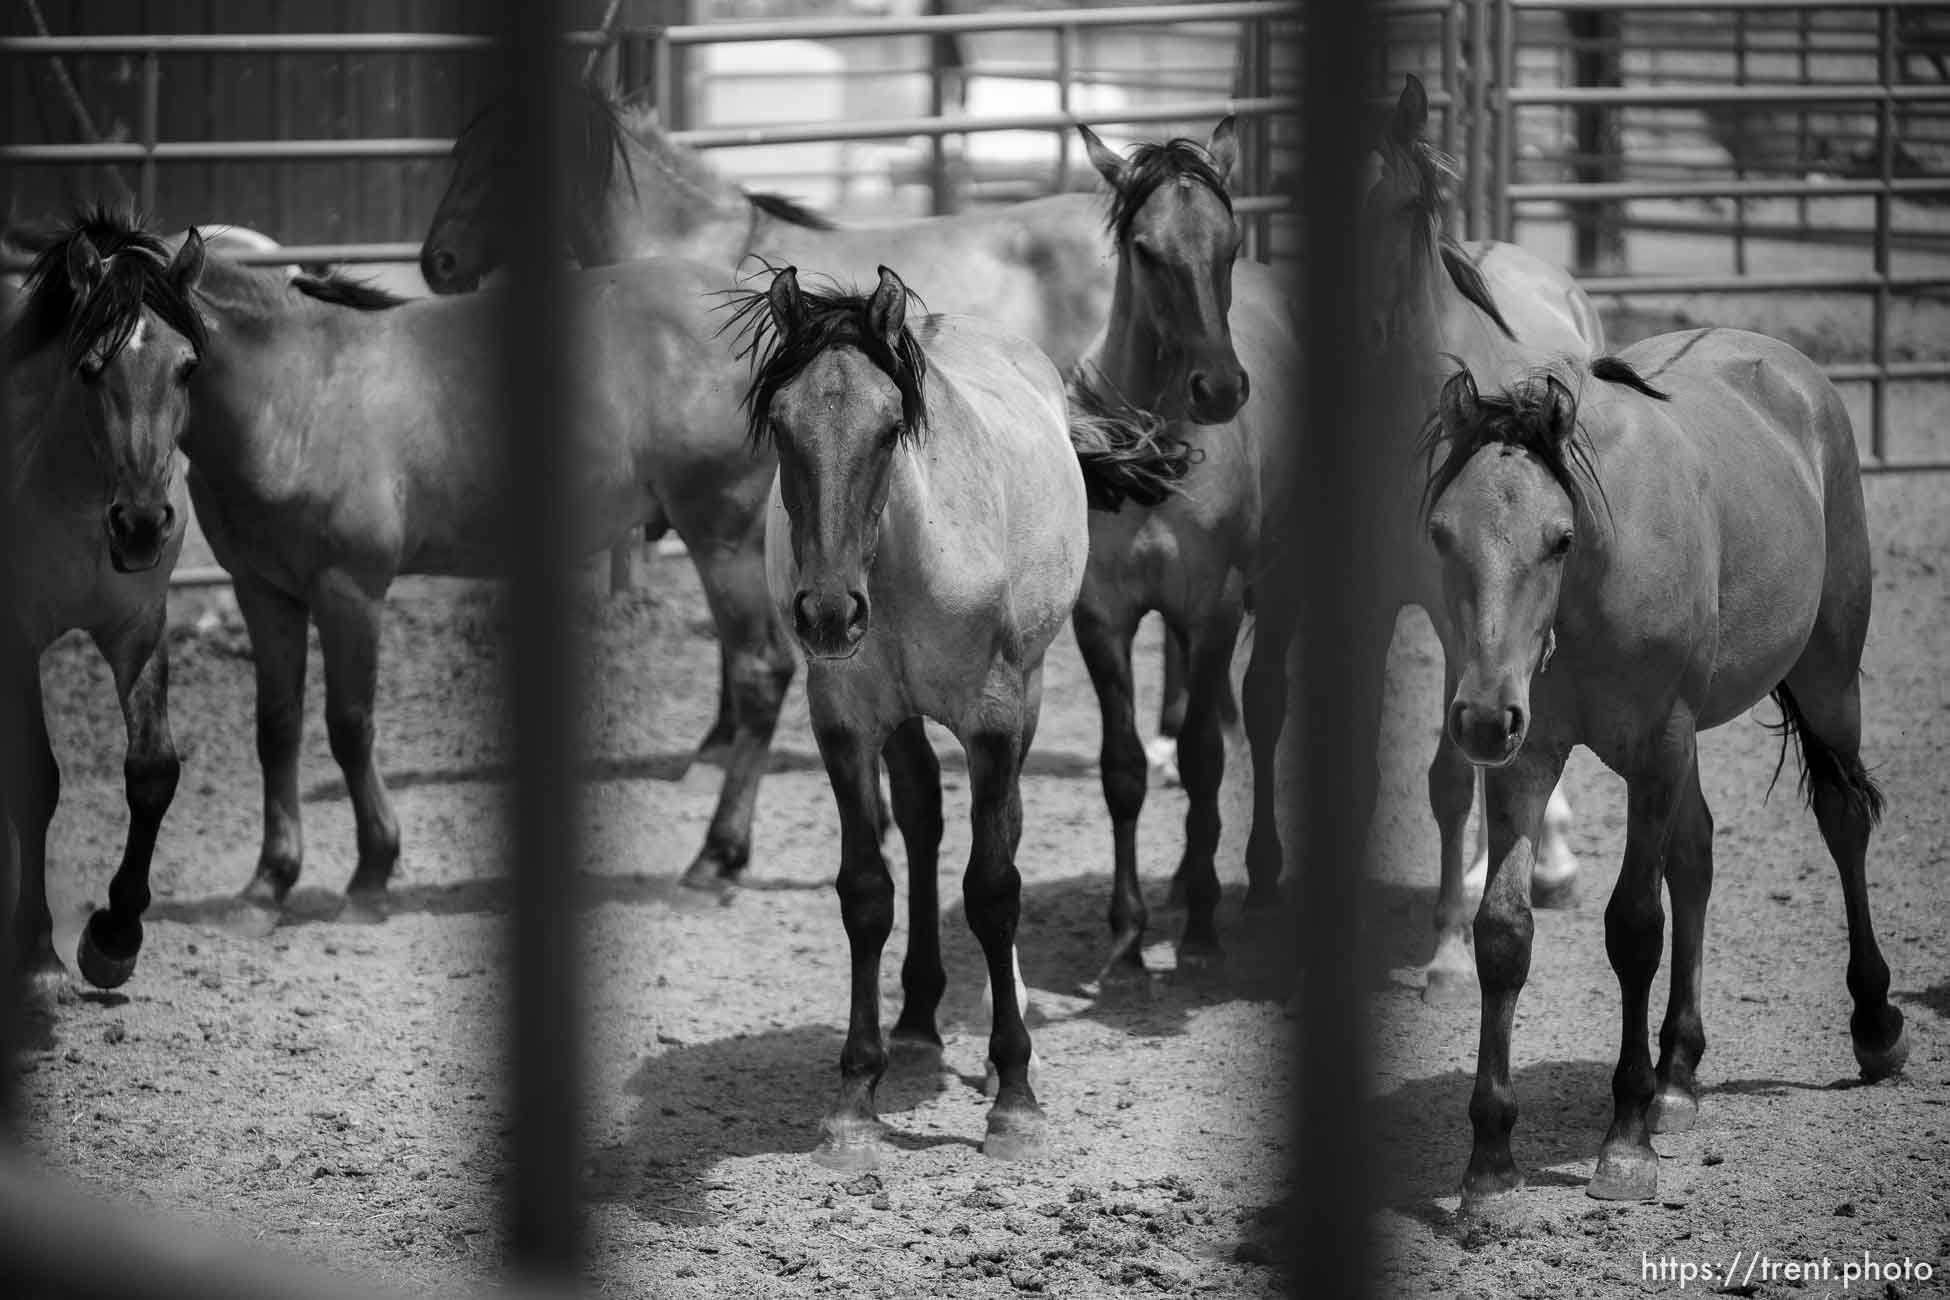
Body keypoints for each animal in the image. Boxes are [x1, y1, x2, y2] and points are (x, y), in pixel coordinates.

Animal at [0, 208, 208, 990]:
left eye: (187, 366)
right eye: (91, 367)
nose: (143, 524)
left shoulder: (139, 627)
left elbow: (152, 772)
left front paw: (113, 940)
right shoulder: (14, 638)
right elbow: (36, 782)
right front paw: (36, 951)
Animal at [173, 238, 791, 919]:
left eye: (174, 359)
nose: (139, 522)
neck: (297, 393)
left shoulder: (349, 590)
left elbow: (349, 726)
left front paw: (372, 870)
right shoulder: (261, 590)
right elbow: (277, 726)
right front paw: (269, 880)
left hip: (726, 537)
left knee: (762, 668)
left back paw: (716, 856)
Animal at [733, 265, 1154, 1169]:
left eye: (891, 428)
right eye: (781, 425)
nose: (827, 614)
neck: (897, 565)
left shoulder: (992, 717)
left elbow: (994, 888)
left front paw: (1016, 1097)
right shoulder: (845, 721)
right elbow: (866, 889)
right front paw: (855, 1099)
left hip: (1029, 690)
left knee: (1005, 829)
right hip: (901, 722)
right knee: (923, 817)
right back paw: (919, 1017)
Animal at [1419, 335, 1903, 1208]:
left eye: (1559, 538)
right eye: (1443, 534)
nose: (1479, 718)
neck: (1597, 579)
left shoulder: (1656, 747)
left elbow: (1636, 926)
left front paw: (1625, 1142)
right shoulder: (1527, 758)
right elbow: (1505, 933)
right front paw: (1491, 1161)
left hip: (1828, 677)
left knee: (1842, 820)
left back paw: (1875, 1025)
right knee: (1697, 856)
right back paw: (1678, 1073)